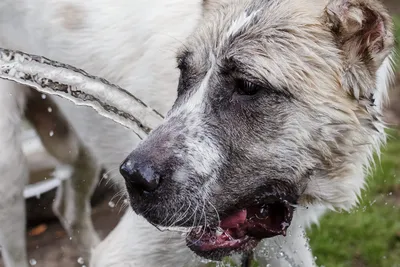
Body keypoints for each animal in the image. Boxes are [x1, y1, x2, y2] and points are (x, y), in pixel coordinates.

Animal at [0, 0, 396, 267]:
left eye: (248, 86)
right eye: (183, 72)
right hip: (11, 172)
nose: (133, 178)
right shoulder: (126, 253)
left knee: (67, 208)